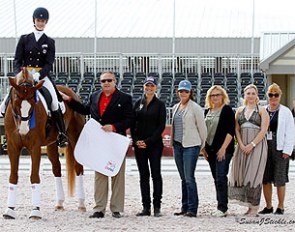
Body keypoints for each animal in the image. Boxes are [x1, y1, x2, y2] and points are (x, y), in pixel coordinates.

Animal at [3, 68, 86, 219]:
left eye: (33, 102)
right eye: (16, 101)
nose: (23, 130)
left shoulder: (35, 146)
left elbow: (34, 176)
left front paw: (35, 210)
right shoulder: (13, 147)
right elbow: (13, 176)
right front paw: (9, 209)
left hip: (75, 137)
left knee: (78, 167)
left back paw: (81, 204)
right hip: (51, 144)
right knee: (56, 168)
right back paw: (59, 203)